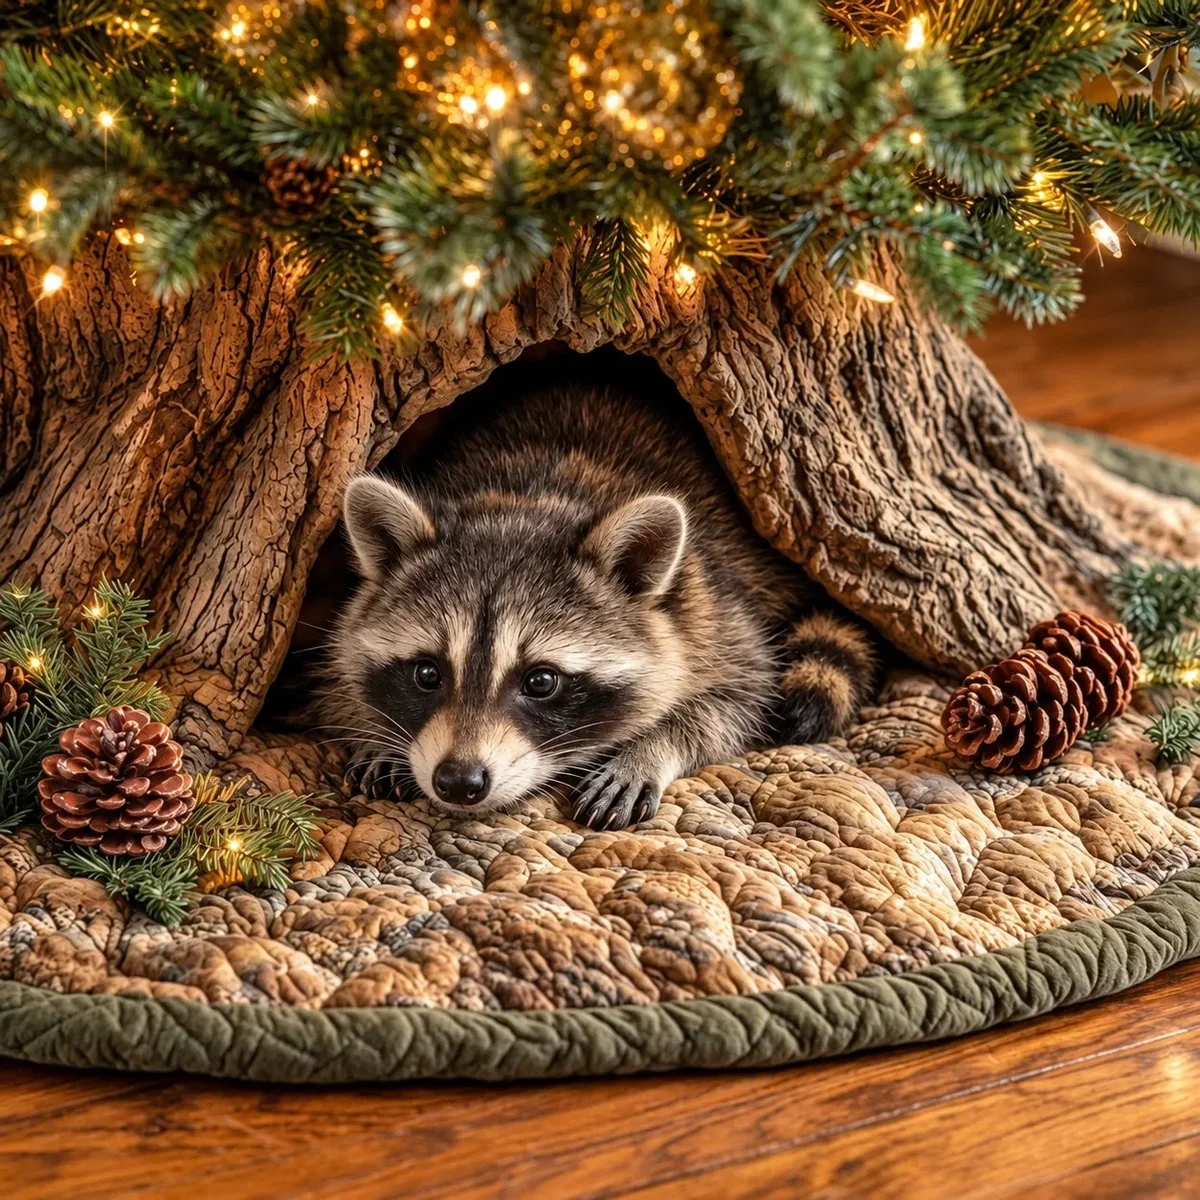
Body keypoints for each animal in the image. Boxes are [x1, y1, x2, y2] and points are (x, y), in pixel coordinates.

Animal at [326, 384, 876, 830]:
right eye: (427, 674)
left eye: (541, 682)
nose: (460, 782)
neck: (526, 498)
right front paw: (373, 730)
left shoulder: (710, 610)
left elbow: (736, 701)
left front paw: (651, 748)